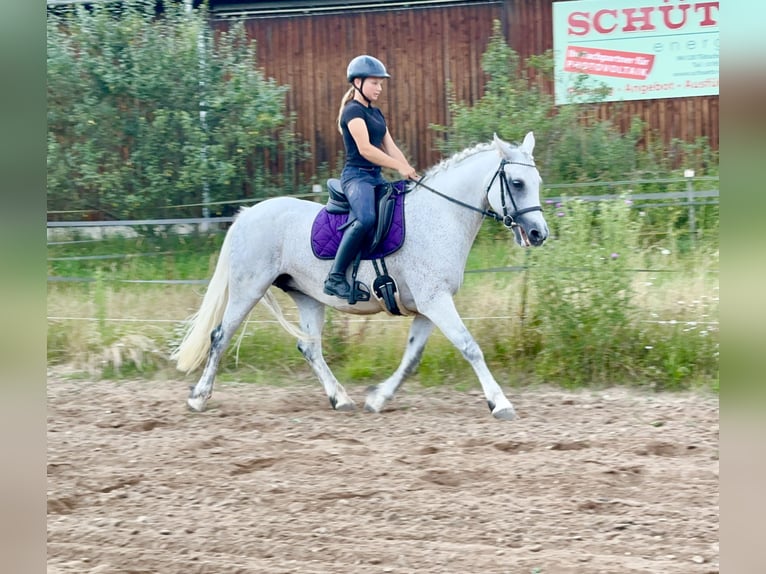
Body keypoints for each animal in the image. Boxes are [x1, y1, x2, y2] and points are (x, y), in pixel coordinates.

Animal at [172, 135, 552, 424]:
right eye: (517, 183)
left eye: (537, 183)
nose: (538, 234)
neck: (440, 216)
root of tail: (248, 213)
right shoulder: (435, 301)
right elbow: (470, 347)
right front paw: (500, 403)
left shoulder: (427, 307)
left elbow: (412, 358)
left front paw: (378, 399)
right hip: (248, 289)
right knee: (220, 336)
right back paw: (198, 398)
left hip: (307, 297)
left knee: (309, 348)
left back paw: (340, 398)